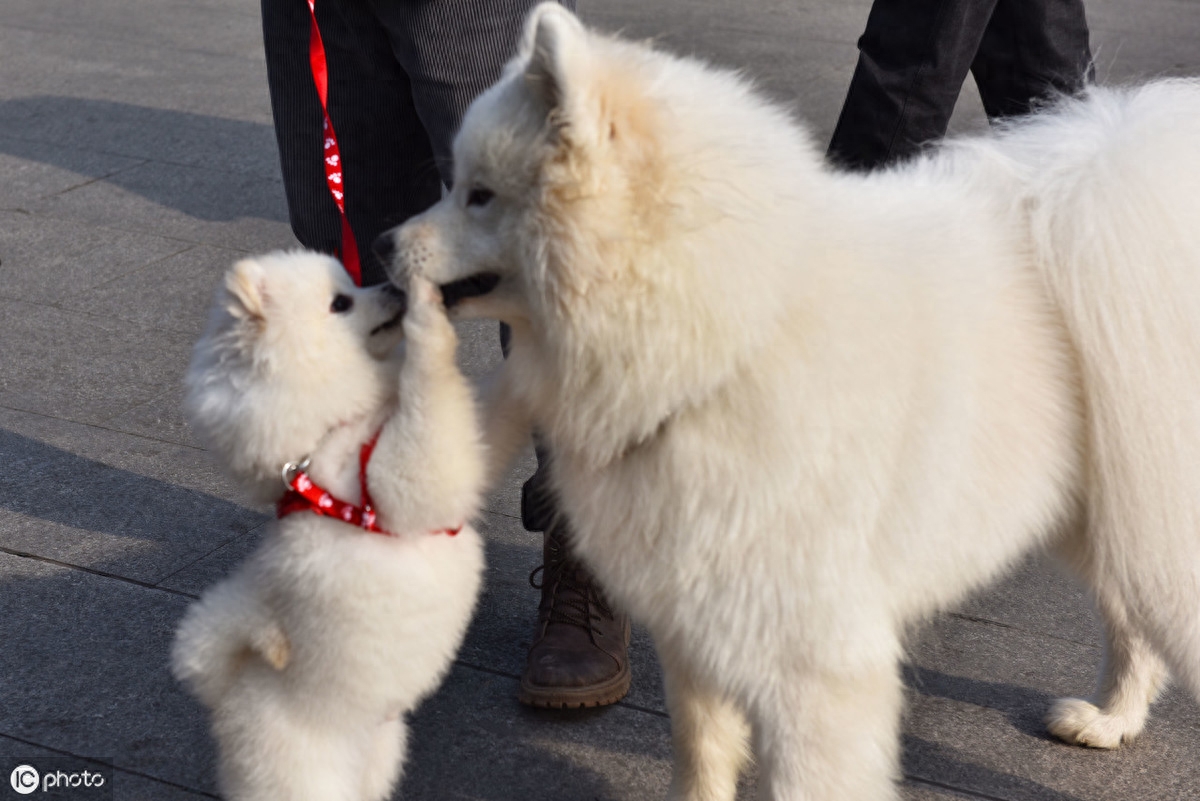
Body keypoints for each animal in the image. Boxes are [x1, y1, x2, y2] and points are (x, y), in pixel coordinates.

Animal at [170, 251, 487, 801]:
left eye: (353, 284)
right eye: (341, 303)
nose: (393, 288)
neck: (330, 427)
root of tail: (228, 700)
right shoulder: (401, 475)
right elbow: (431, 389)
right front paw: (429, 315)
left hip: (377, 758)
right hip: (303, 775)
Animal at [374, 3, 1200, 796]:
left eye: (478, 195)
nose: (382, 244)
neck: (727, 339)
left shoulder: (817, 662)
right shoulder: (696, 614)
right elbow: (700, 753)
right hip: (1116, 507)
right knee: (1132, 620)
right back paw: (1112, 718)